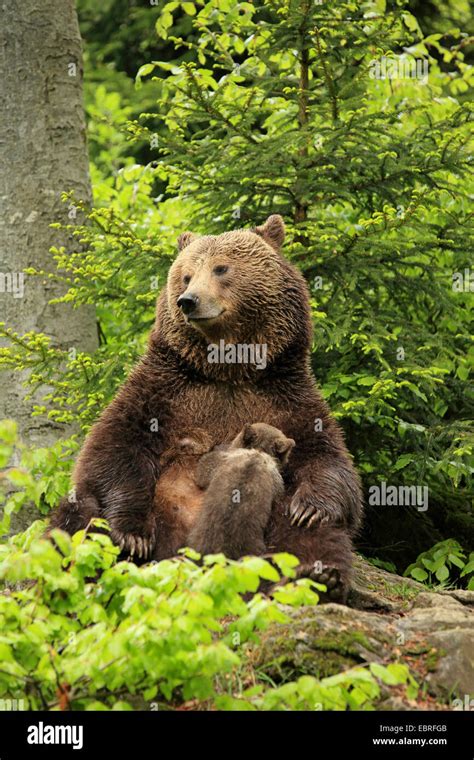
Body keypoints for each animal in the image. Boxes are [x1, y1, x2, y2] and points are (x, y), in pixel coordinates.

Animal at [50, 214, 362, 600]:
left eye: (221, 268)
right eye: (186, 275)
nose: (189, 300)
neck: (227, 369)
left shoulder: (285, 395)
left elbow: (327, 459)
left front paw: (310, 507)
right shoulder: (164, 390)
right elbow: (114, 449)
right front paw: (133, 535)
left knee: (312, 534)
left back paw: (319, 577)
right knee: (78, 515)